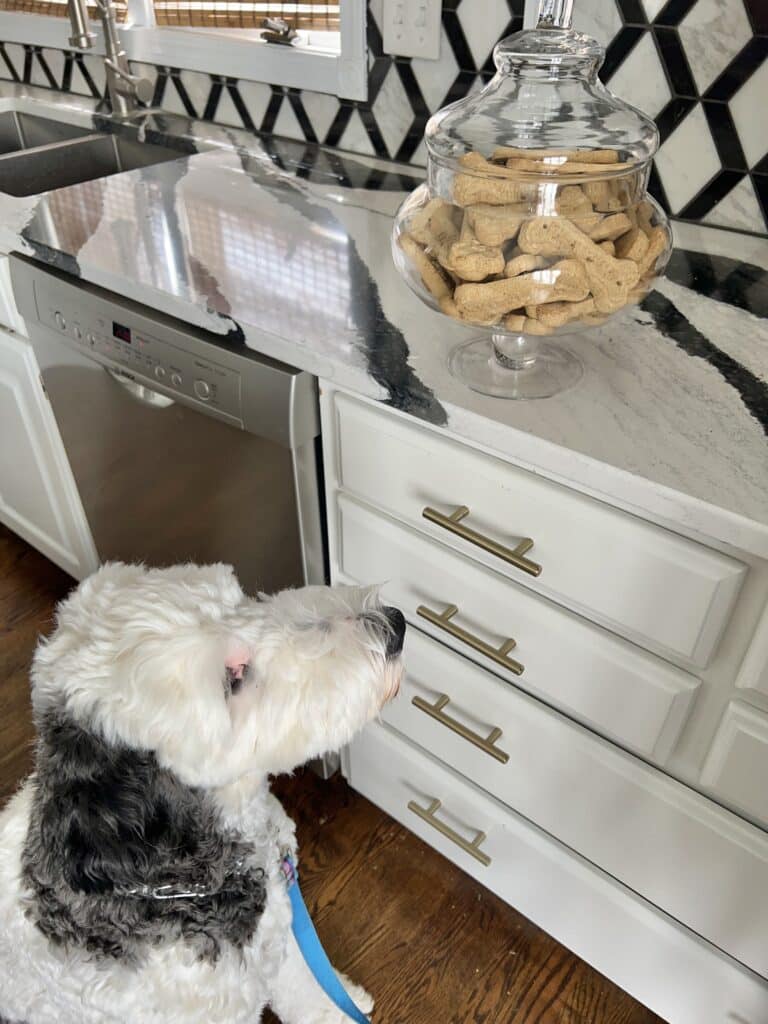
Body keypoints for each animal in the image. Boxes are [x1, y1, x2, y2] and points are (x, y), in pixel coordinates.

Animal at [0, 565, 409, 1019]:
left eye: (242, 598)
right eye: (234, 676)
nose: (394, 624)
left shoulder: (280, 932)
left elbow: (308, 989)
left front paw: (341, 1003)